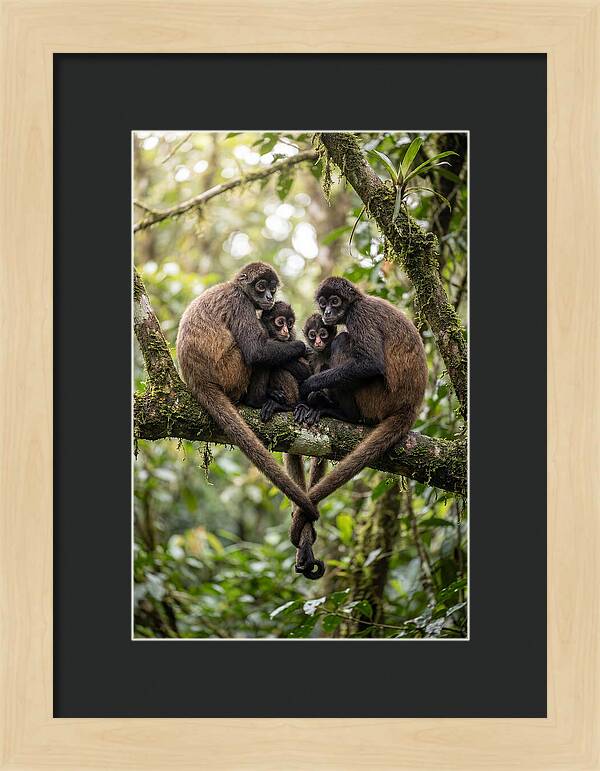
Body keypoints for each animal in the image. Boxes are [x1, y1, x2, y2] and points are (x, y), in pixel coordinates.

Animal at [176, 262, 320, 524]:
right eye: (261, 286)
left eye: (272, 288)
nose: (269, 297)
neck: (236, 287)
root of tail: (197, 379)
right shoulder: (240, 302)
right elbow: (256, 351)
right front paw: (299, 347)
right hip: (231, 371)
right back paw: (258, 400)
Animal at [289, 276, 428, 548]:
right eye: (323, 304)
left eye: (335, 301)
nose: (328, 313)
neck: (358, 301)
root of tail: (410, 406)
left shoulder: (359, 315)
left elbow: (370, 363)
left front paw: (309, 387)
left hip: (377, 398)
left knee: (343, 340)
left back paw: (343, 414)